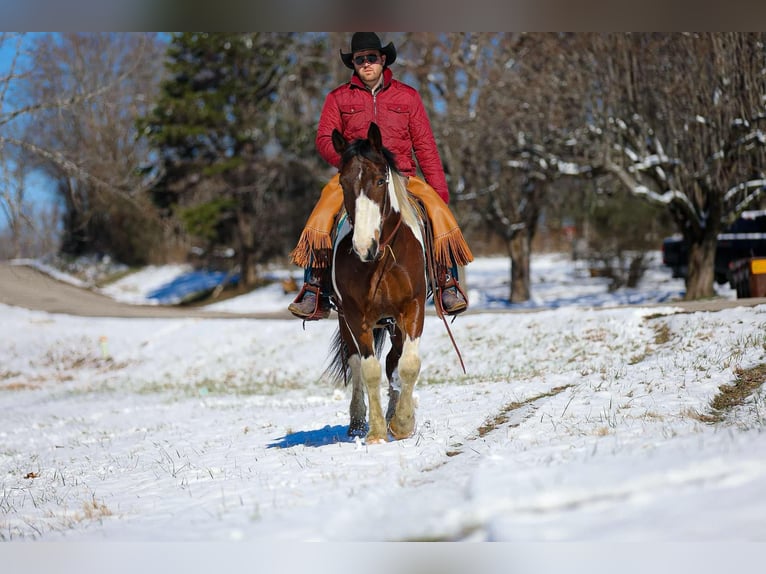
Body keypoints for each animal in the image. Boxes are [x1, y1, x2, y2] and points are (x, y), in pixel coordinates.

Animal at [326, 122, 427, 444]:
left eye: (381, 180)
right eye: (343, 183)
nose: (363, 246)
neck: (382, 259)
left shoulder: (413, 308)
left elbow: (408, 365)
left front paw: (403, 423)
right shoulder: (356, 315)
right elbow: (368, 369)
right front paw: (377, 431)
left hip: (395, 323)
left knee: (394, 361)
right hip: (347, 320)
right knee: (356, 363)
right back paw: (358, 422)